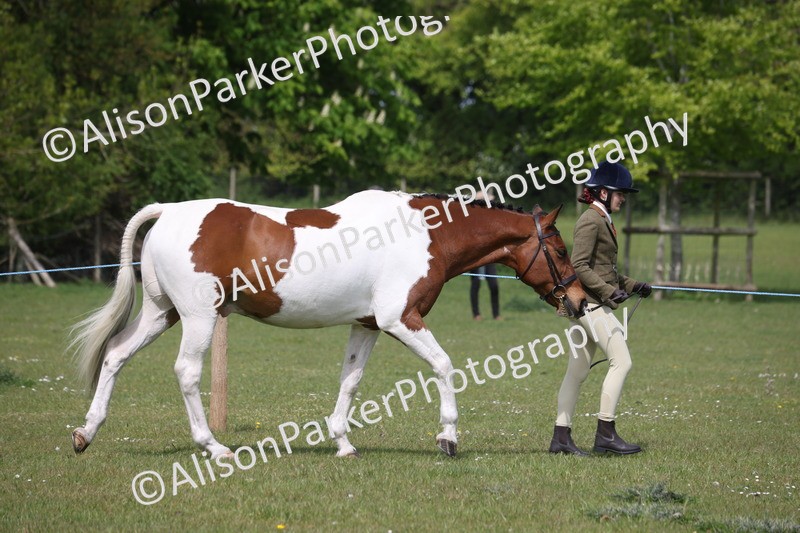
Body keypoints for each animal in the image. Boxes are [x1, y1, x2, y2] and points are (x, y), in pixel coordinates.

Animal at [70, 190, 587, 459]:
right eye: (561, 251)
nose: (580, 302)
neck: (427, 234)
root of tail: (171, 211)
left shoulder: (368, 324)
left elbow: (350, 381)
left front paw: (342, 442)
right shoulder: (402, 320)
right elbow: (443, 366)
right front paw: (448, 438)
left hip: (162, 313)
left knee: (115, 355)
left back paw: (86, 433)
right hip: (198, 317)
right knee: (186, 373)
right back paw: (213, 447)